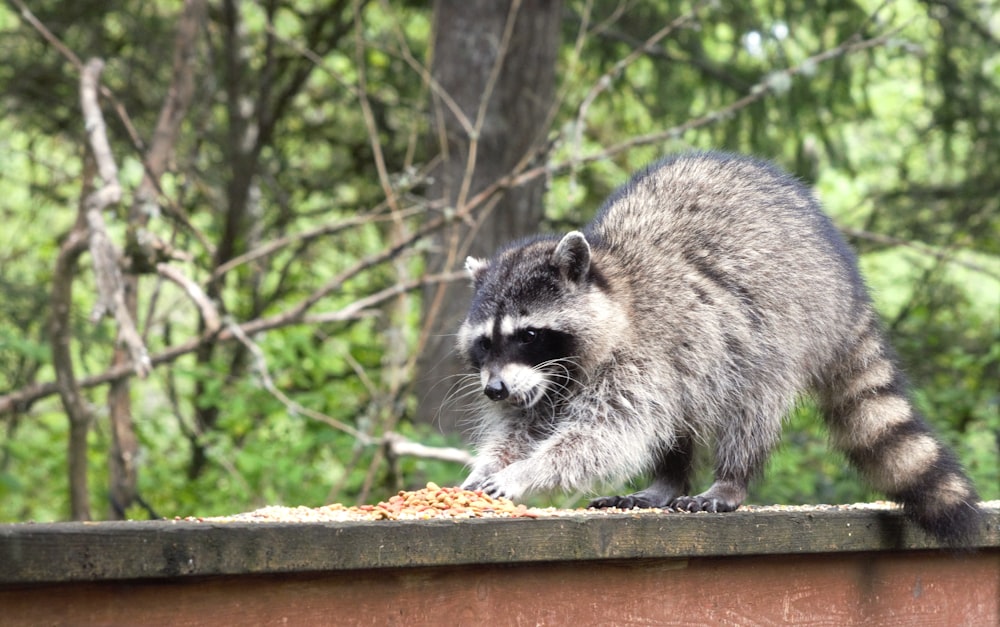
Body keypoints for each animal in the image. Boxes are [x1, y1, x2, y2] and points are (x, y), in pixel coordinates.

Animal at [456, 152, 984, 544]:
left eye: (528, 334)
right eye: (485, 342)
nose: (494, 391)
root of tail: (846, 284)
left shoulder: (640, 358)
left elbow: (603, 437)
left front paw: (527, 472)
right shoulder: (546, 380)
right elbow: (523, 427)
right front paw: (490, 464)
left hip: (781, 328)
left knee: (750, 407)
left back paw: (730, 477)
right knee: (678, 422)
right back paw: (667, 481)